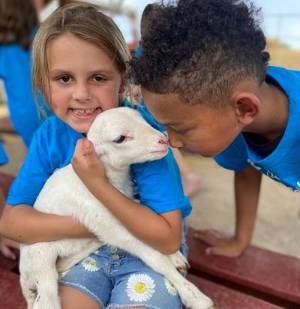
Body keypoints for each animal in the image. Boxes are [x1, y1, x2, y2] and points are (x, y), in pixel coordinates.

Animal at [19, 106, 213, 308]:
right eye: (120, 139)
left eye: (143, 120)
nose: (163, 140)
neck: (111, 179)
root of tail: (25, 281)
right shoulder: (108, 224)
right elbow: (155, 257)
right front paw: (195, 296)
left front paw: (175, 256)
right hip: (40, 258)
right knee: (46, 299)